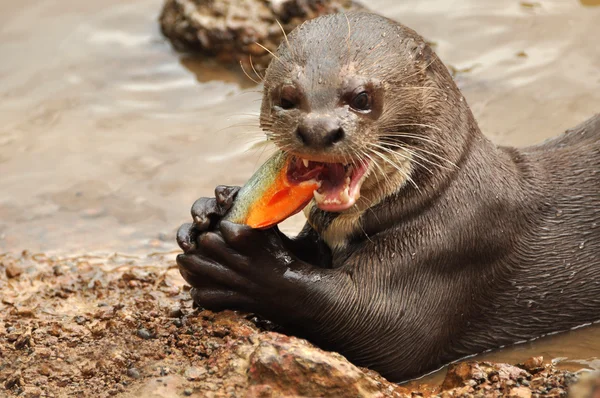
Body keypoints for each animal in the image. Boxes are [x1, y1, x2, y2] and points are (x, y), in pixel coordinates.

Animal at [176, 10, 600, 380]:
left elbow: (384, 328)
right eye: (287, 96)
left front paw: (243, 263)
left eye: (361, 97)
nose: (317, 130)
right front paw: (212, 207)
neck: (441, 196)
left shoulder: (458, 242)